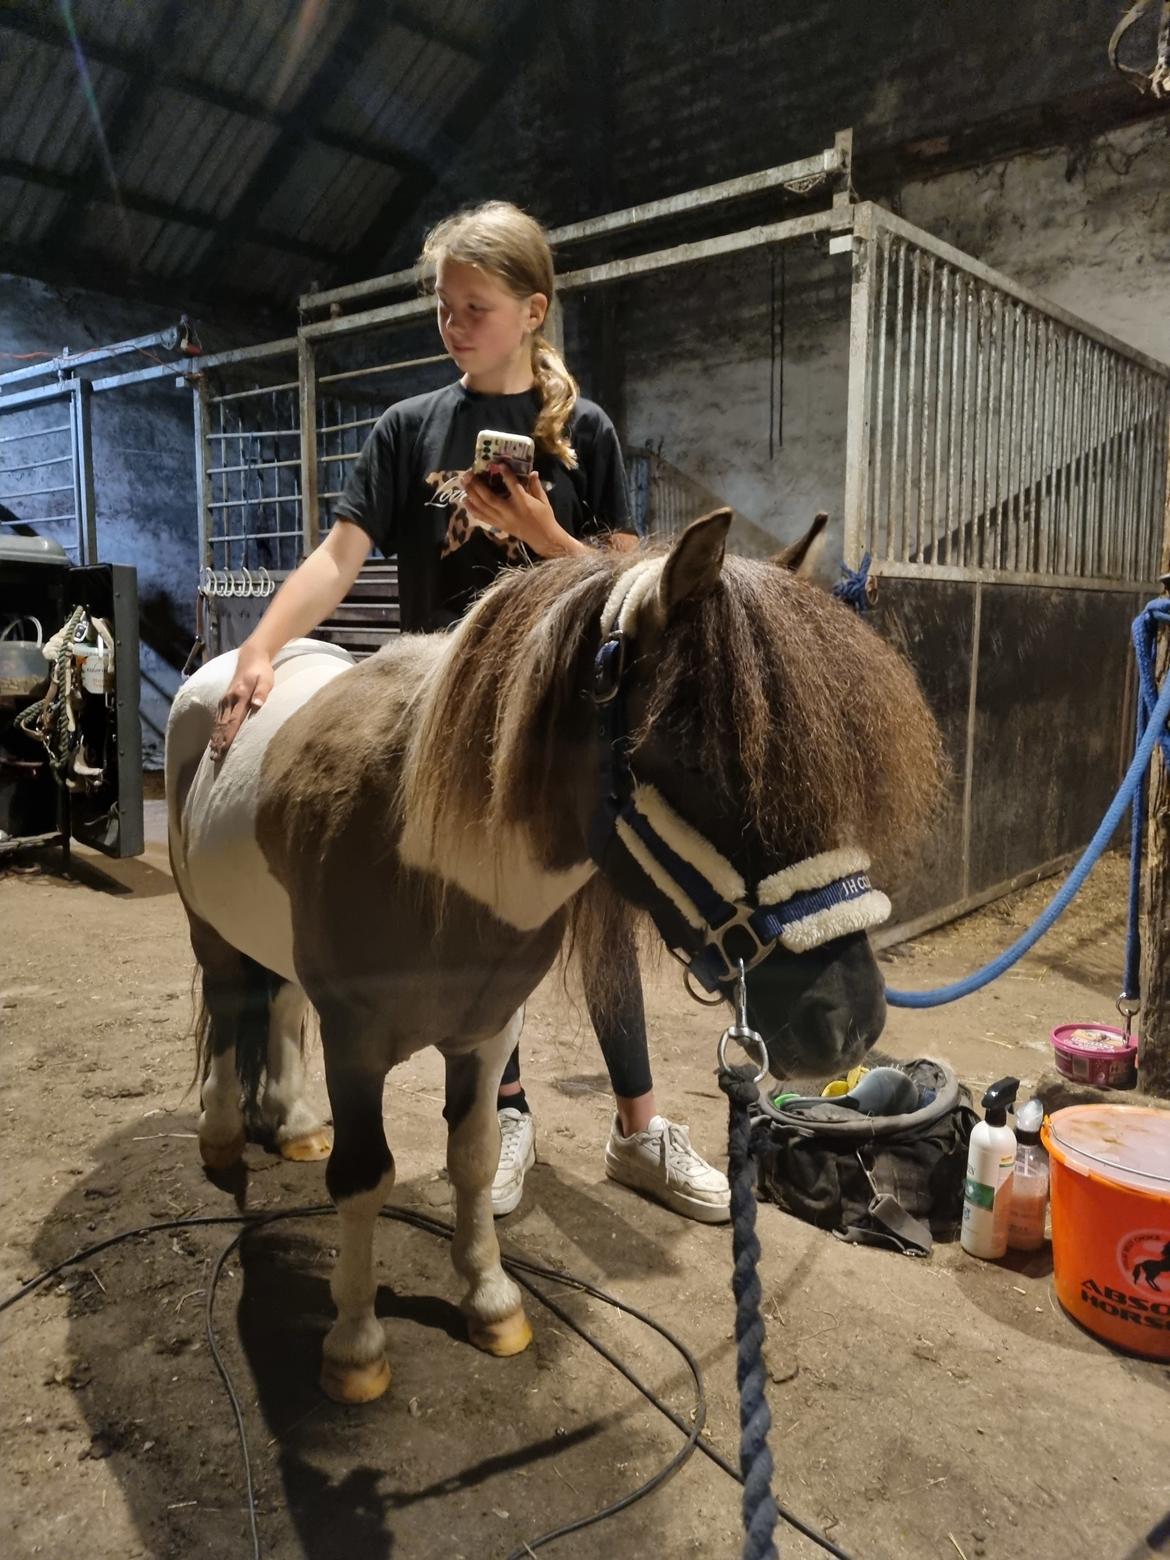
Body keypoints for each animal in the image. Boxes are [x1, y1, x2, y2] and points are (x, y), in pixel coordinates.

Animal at [166, 511, 942, 1404]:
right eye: (693, 753)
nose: (850, 1020)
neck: (425, 847)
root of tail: (222, 672)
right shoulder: (354, 1044)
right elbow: (366, 1177)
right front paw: (356, 1346)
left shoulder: (488, 1031)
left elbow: (470, 1159)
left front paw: (490, 1300)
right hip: (208, 931)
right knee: (230, 1009)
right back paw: (222, 1133)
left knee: (282, 1003)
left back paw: (292, 1125)